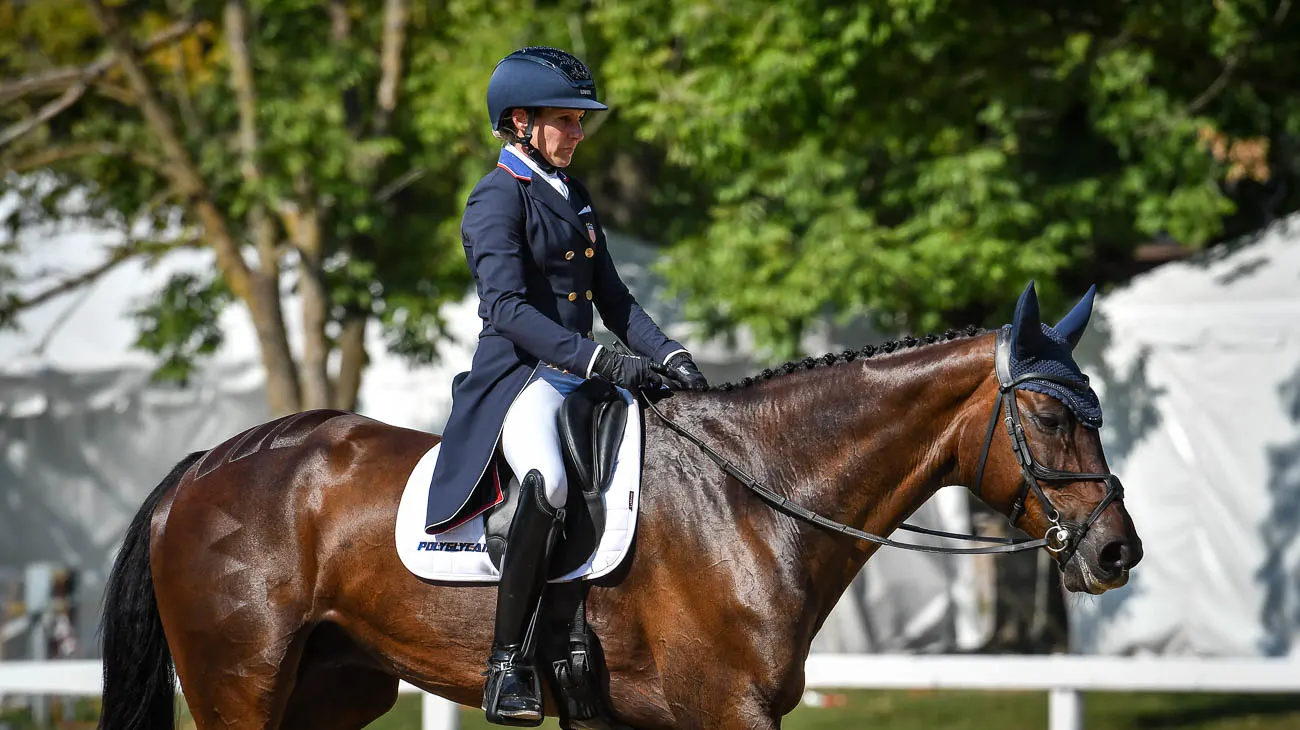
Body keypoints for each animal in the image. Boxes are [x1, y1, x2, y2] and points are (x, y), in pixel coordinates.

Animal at [96, 284, 1142, 730]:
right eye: (1054, 416)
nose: (1116, 554)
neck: (752, 495)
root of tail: (204, 467)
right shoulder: (727, 712)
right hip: (239, 688)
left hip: (334, 692)